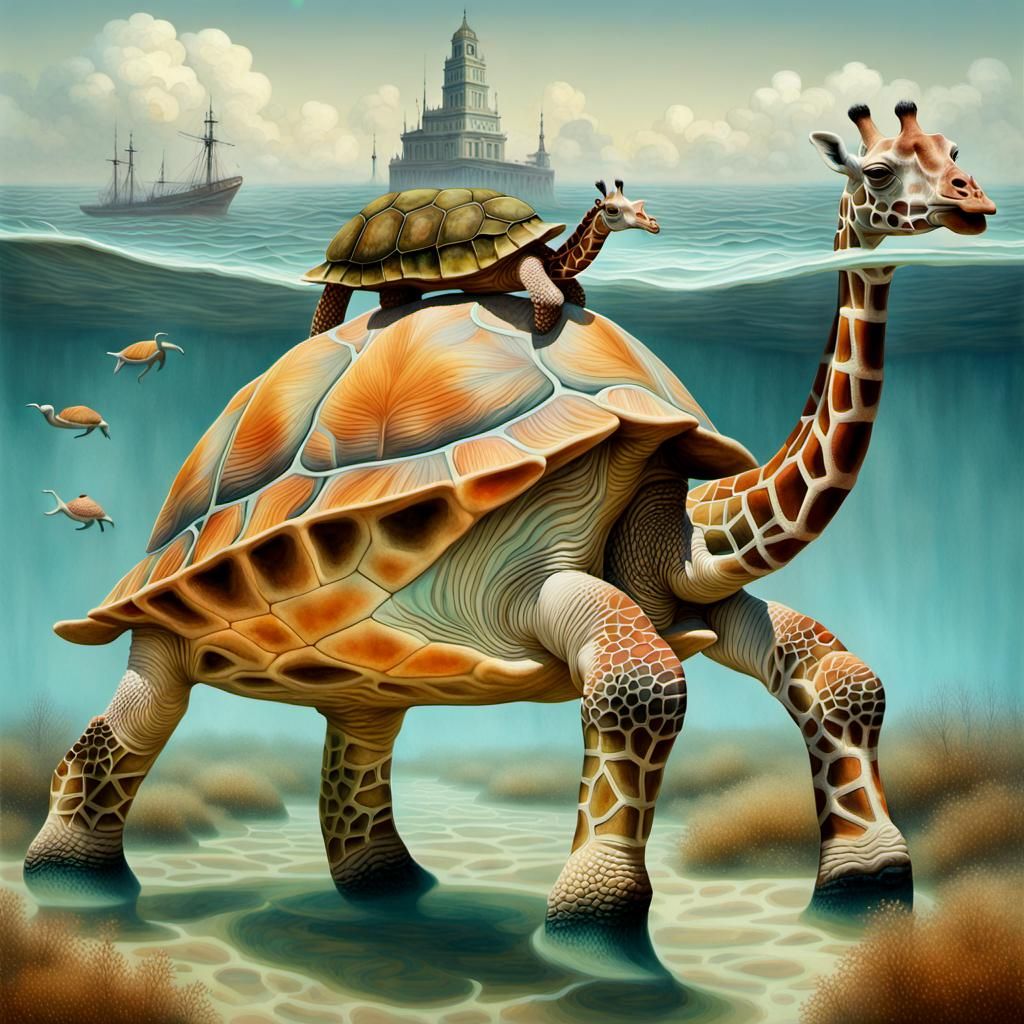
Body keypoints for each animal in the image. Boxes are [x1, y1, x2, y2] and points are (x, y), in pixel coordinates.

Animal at [607, 101, 996, 916]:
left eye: (954, 150)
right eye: (876, 171)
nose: (974, 201)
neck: (693, 524)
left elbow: (846, 689)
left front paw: (861, 876)